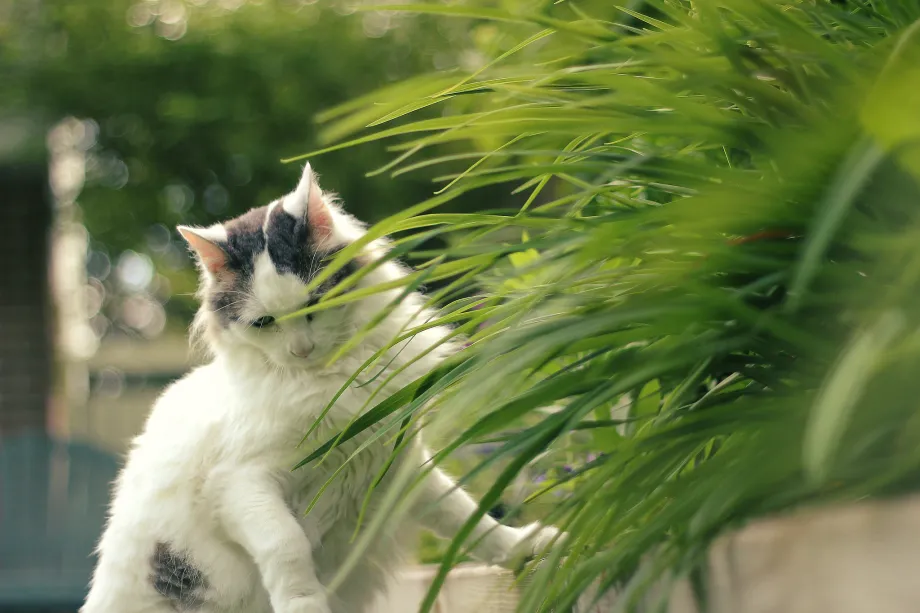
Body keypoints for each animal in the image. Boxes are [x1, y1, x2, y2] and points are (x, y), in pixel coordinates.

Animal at [82, 163, 560, 612]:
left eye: (315, 304)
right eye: (265, 323)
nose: (302, 349)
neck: (334, 384)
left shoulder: (396, 467)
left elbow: (466, 517)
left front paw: (523, 548)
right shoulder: (240, 483)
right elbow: (287, 545)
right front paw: (306, 605)